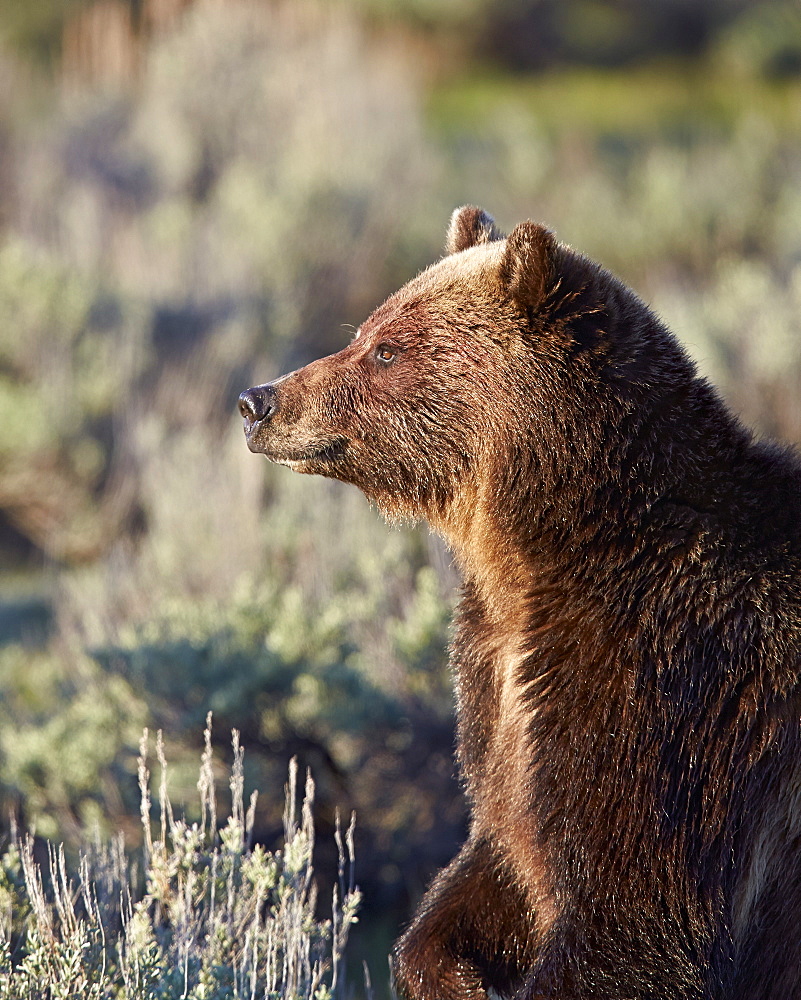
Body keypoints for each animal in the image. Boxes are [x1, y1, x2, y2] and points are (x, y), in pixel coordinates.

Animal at [238, 205, 800, 1000]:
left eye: (385, 349)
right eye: (366, 330)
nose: (258, 401)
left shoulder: (671, 692)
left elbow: (634, 914)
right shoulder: (500, 692)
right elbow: (498, 857)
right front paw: (452, 972)